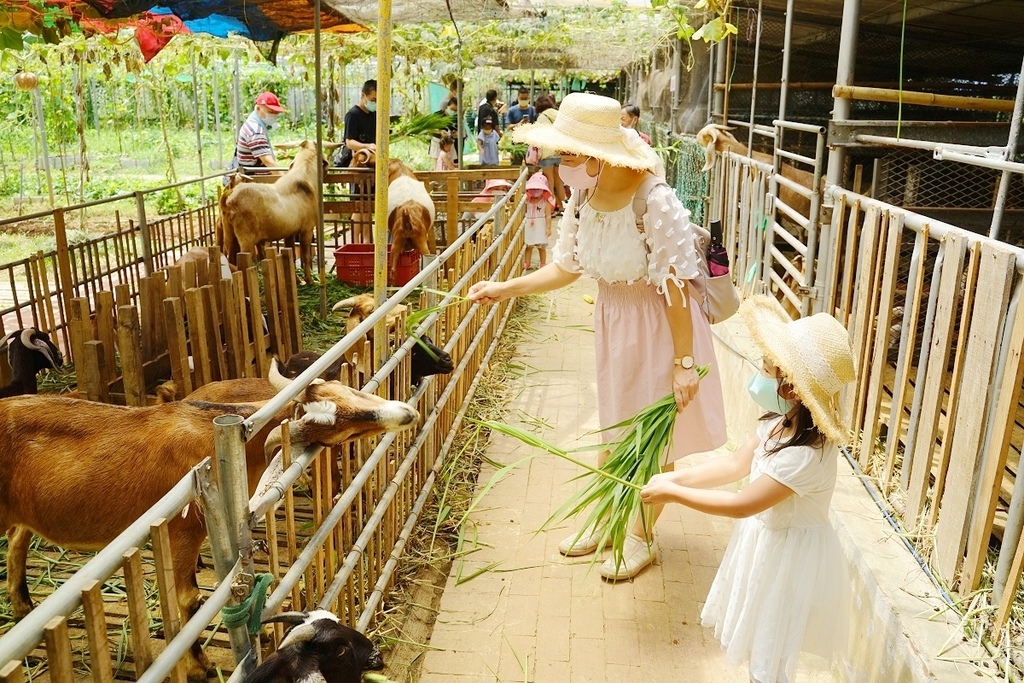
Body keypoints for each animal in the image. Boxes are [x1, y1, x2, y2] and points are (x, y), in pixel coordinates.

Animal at [220, 141, 327, 286]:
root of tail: (229, 201)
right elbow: (305, 254)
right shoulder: (307, 229)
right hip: (246, 239)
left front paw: (297, 280)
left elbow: (292, 254)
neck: (305, 180)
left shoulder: (290, 232)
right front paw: (310, 281)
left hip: (229, 235)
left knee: (230, 259)